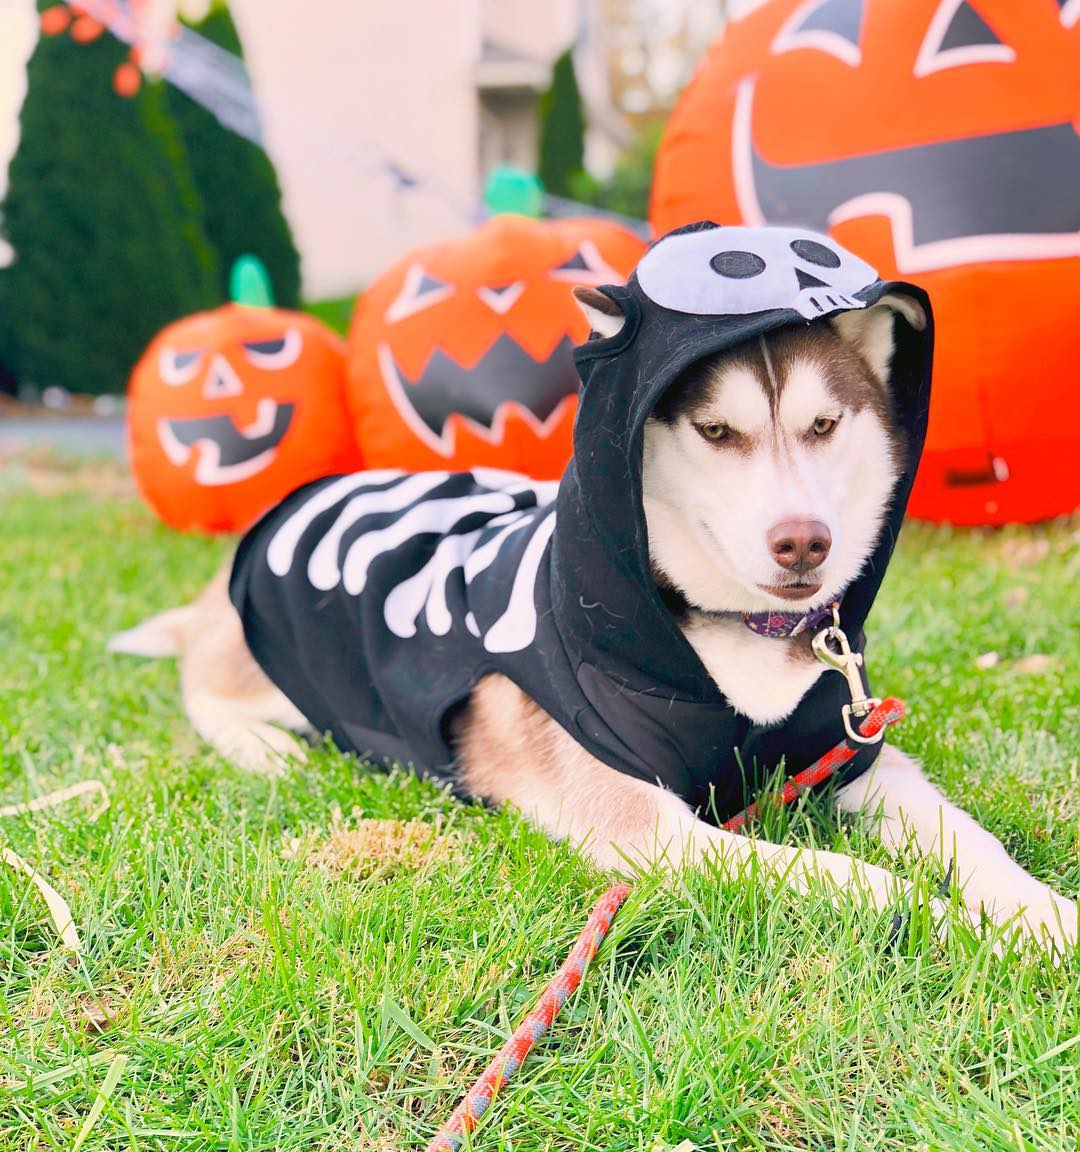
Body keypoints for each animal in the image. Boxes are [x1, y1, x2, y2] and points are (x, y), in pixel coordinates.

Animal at [111, 224, 1077, 953]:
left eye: (824, 425)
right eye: (716, 430)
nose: (804, 541)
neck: (734, 637)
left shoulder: (849, 754)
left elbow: (971, 838)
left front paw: (1042, 913)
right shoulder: (649, 826)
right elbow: (856, 877)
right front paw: (958, 927)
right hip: (270, 647)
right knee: (207, 686)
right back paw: (265, 750)